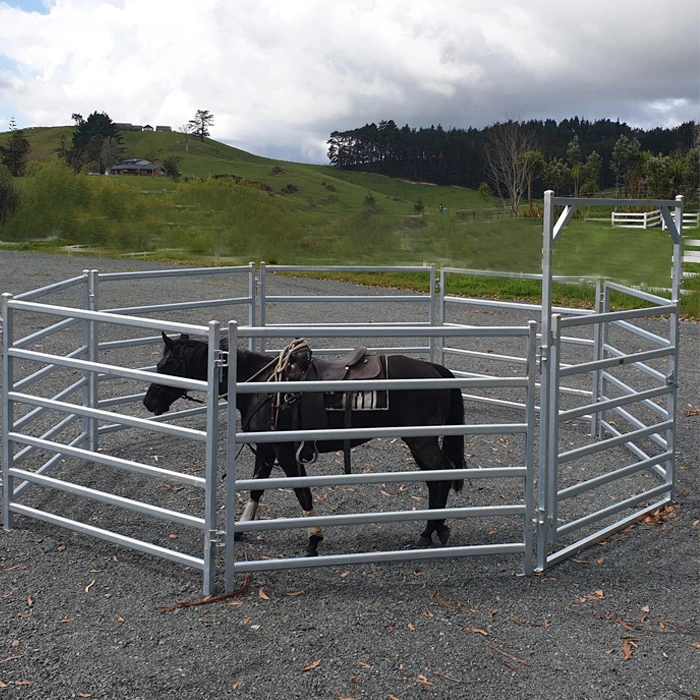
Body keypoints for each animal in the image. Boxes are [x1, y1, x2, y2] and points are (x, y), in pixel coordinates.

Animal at [142, 334, 464, 556]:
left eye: (170, 364)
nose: (148, 401)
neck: (259, 386)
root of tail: (435, 369)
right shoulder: (266, 450)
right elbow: (256, 488)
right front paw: (240, 529)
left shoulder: (286, 452)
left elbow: (302, 492)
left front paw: (314, 537)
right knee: (438, 478)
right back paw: (435, 529)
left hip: (420, 440)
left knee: (440, 476)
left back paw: (429, 530)